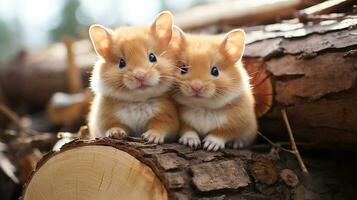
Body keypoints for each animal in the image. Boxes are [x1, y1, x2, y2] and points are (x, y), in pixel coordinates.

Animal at [87, 11, 178, 144]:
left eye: (152, 57)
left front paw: (150, 138)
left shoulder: (166, 118)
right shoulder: (106, 120)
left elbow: (159, 127)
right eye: (121, 63)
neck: (138, 101)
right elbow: (114, 126)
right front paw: (115, 133)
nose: (140, 76)